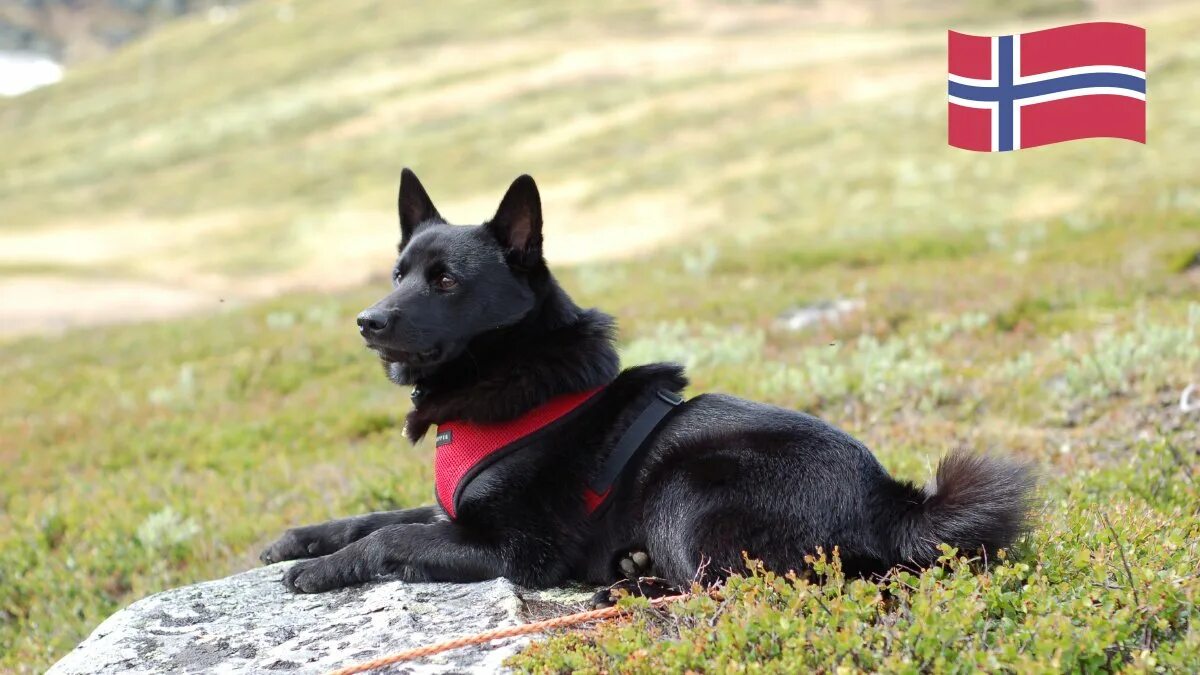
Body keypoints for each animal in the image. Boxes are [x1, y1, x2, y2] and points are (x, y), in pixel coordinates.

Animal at [260, 170, 1032, 595]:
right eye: (398, 273)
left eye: (446, 281)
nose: (367, 320)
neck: (512, 373)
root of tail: (894, 502)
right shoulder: (454, 509)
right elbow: (379, 515)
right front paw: (300, 539)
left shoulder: (517, 550)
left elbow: (392, 537)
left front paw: (322, 570)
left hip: (683, 487)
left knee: (737, 586)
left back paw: (629, 583)